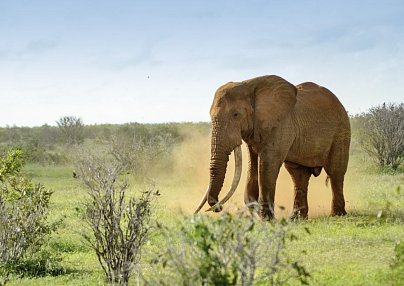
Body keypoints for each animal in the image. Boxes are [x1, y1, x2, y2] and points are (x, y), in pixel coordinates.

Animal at [196, 74, 350, 219]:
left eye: (236, 114)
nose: (218, 207)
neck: (249, 85)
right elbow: (252, 164)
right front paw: (254, 208)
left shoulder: (282, 124)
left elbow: (268, 164)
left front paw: (266, 219)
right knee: (298, 175)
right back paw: (297, 218)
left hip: (341, 130)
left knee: (335, 171)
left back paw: (337, 214)